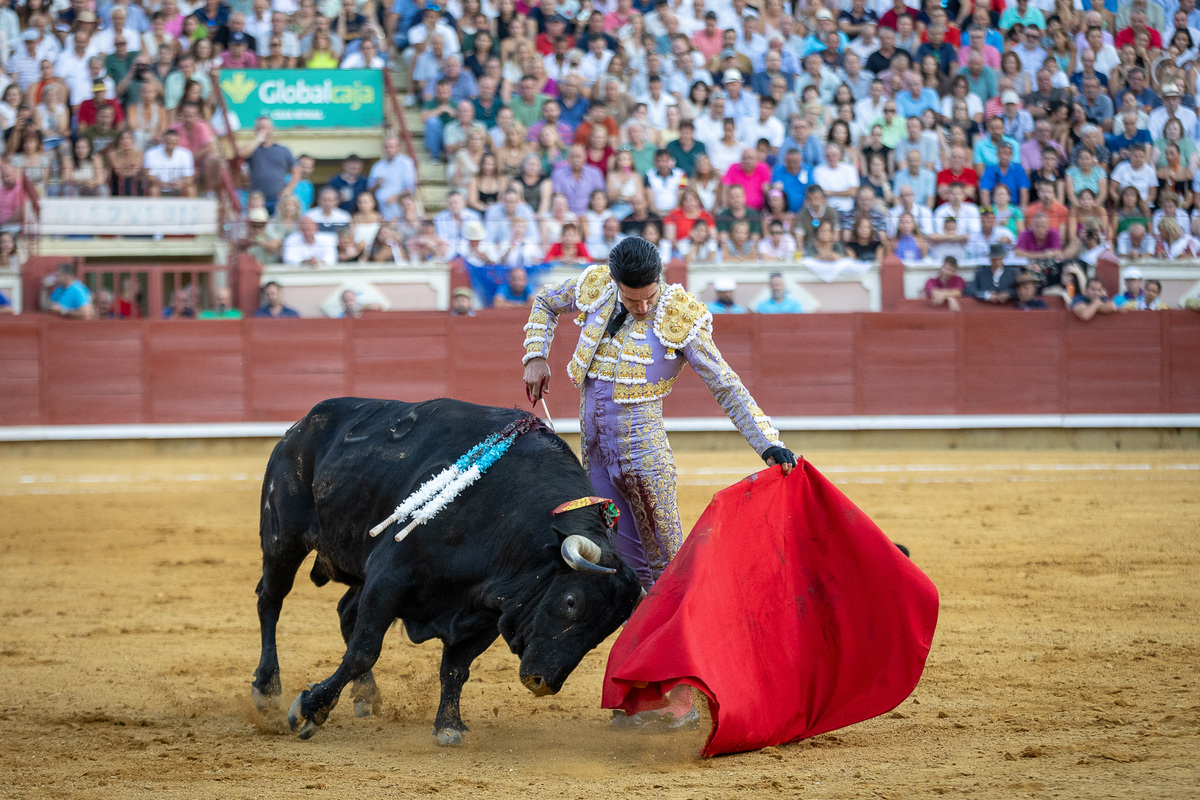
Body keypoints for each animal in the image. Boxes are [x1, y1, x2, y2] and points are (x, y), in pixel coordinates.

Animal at [250, 398, 648, 743]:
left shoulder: (485, 609)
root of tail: (300, 427)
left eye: (605, 632)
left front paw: (449, 726)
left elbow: (456, 666)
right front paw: (309, 710)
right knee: (270, 601)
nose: (542, 682)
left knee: (344, 611)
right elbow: (365, 649)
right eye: (570, 602)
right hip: (282, 538)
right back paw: (267, 691)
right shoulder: (389, 575)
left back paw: (366, 696)